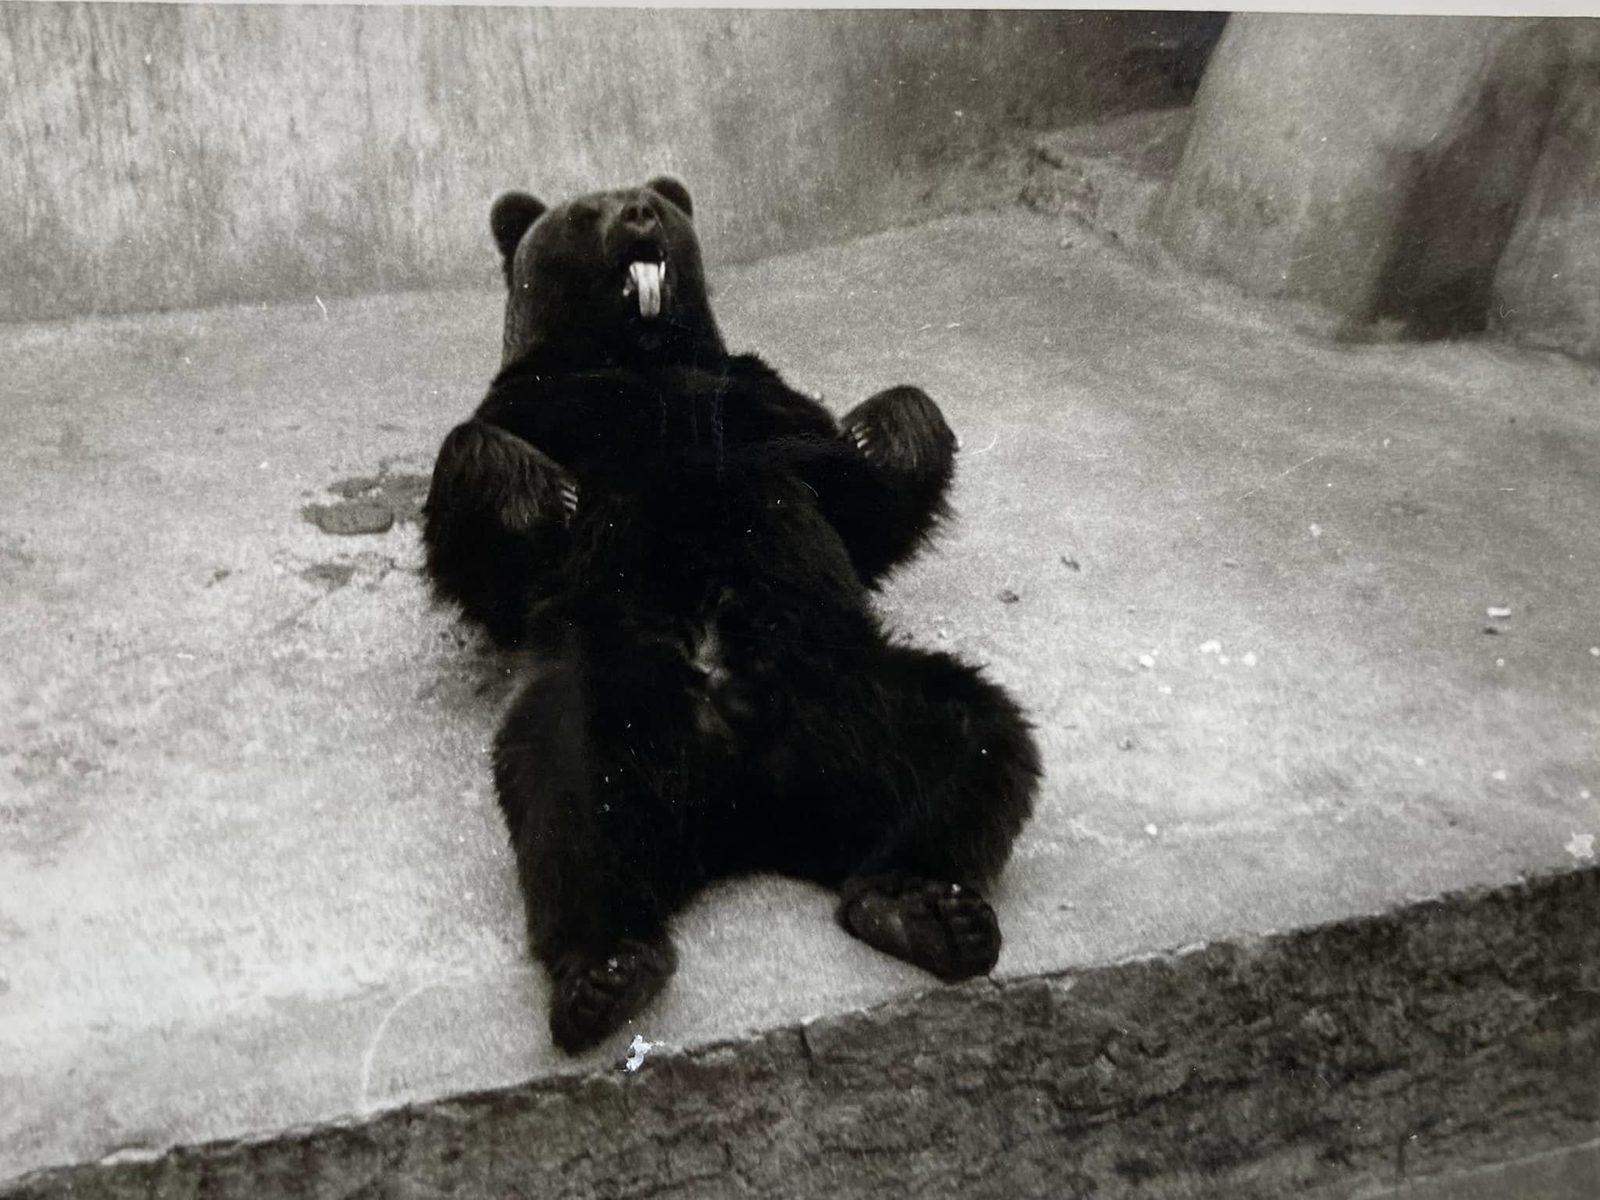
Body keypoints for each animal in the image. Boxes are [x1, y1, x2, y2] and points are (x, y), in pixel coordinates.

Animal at [422, 176, 1041, 1053]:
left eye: (651, 196)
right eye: (585, 210)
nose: (641, 214)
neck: (640, 354)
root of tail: (755, 806)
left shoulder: (759, 402)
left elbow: (861, 500)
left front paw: (886, 427)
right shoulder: (541, 406)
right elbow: (489, 528)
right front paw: (537, 493)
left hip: (857, 692)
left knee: (977, 739)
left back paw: (924, 906)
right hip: (617, 691)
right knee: (566, 790)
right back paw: (607, 970)